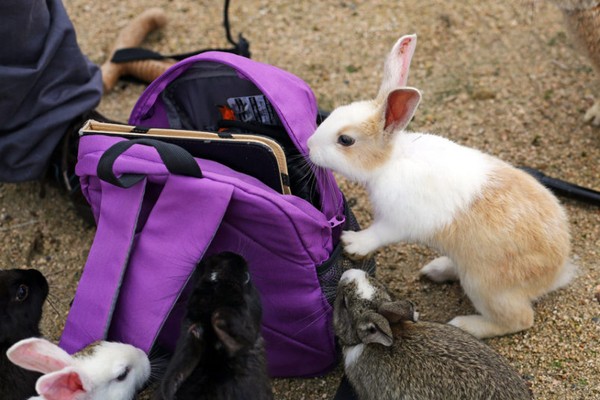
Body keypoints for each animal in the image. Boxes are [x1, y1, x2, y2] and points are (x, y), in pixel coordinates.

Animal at [310, 34, 576, 340]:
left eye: (346, 140)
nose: (308, 146)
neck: (390, 161)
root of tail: (556, 271)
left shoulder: (395, 222)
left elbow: (377, 234)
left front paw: (352, 243)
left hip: (485, 286)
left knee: (519, 319)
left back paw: (463, 324)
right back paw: (435, 270)